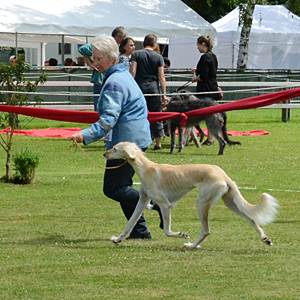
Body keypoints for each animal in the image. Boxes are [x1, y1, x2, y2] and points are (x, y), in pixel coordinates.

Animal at [105, 141, 278, 248]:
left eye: (114, 148)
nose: (104, 154)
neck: (146, 169)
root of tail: (222, 174)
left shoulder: (165, 204)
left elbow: (167, 231)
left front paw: (182, 234)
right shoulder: (142, 201)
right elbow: (130, 223)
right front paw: (118, 239)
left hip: (201, 203)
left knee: (206, 230)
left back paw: (192, 245)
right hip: (230, 202)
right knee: (252, 219)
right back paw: (265, 239)